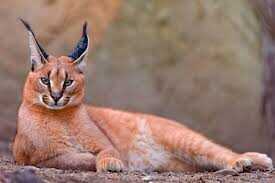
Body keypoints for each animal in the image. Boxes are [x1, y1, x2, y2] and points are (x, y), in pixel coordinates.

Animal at [12, 20, 274, 173]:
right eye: (45, 80)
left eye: (68, 82)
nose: (56, 96)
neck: (60, 117)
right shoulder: (33, 158)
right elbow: (72, 158)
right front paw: (104, 162)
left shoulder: (106, 143)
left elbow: (107, 151)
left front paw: (111, 163)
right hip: (182, 163)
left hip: (182, 138)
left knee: (219, 151)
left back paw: (250, 160)